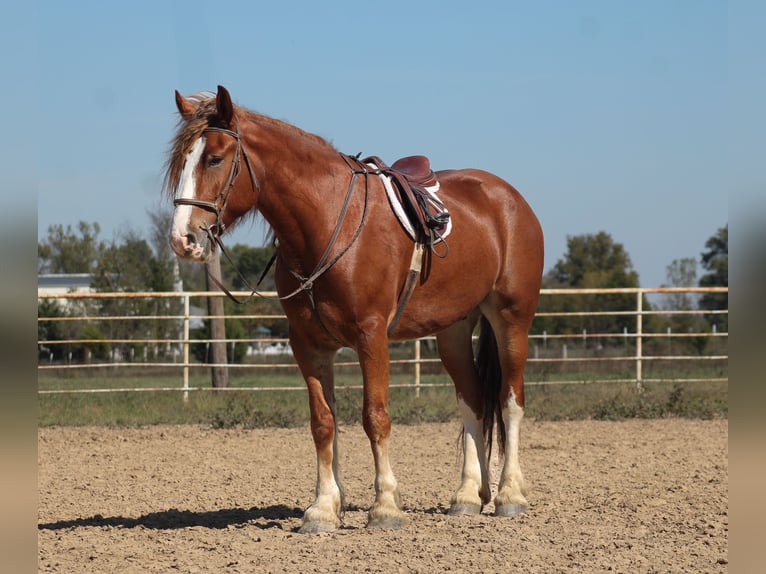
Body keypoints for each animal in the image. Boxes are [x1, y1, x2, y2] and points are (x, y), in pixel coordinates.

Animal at [164, 85, 544, 533]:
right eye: (181, 161)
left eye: (215, 158)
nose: (182, 239)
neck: (328, 221)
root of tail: (508, 197)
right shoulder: (308, 344)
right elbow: (323, 422)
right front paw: (324, 508)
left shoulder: (371, 336)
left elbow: (375, 417)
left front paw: (385, 506)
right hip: (452, 329)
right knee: (472, 401)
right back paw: (468, 496)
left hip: (511, 319)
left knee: (510, 399)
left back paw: (509, 495)